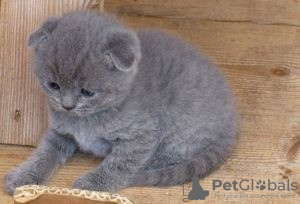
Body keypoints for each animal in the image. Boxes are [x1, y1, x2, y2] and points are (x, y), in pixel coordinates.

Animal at [3, 11, 236, 194]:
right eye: (53, 85)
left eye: (87, 92)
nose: (67, 106)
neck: (89, 118)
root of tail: (232, 126)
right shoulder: (59, 133)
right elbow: (44, 154)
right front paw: (23, 177)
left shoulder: (141, 136)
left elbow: (120, 163)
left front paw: (94, 183)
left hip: (181, 128)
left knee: (170, 156)